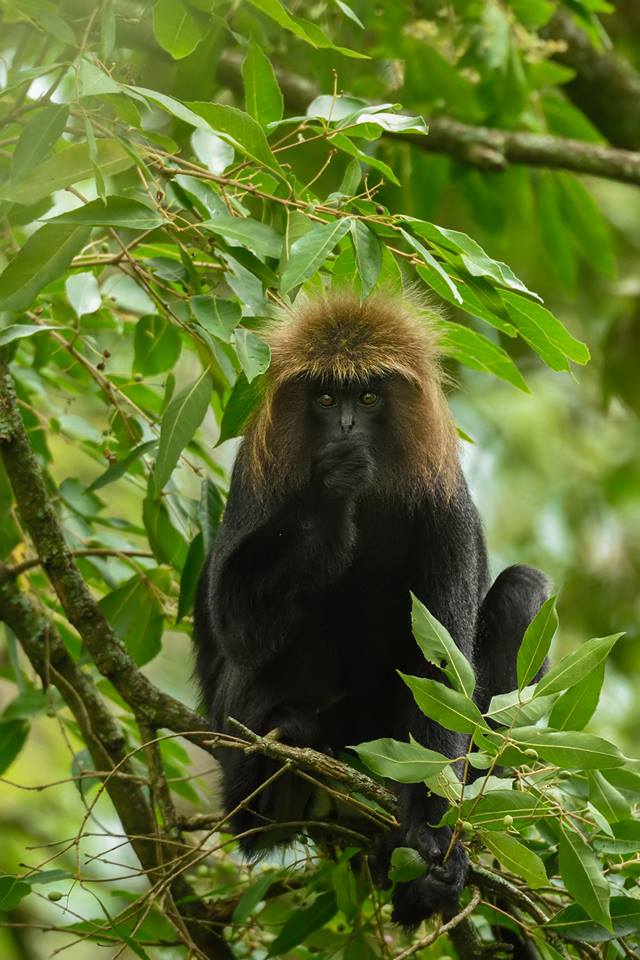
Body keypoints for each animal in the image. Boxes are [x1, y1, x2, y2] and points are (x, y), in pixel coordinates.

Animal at [192, 292, 548, 928]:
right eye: (326, 399)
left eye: (367, 397)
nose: (347, 429)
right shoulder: (256, 474)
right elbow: (235, 629)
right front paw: (332, 488)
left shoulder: (444, 499)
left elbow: (445, 670)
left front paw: (430, 843)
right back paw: (278, 775)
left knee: (522, 588)